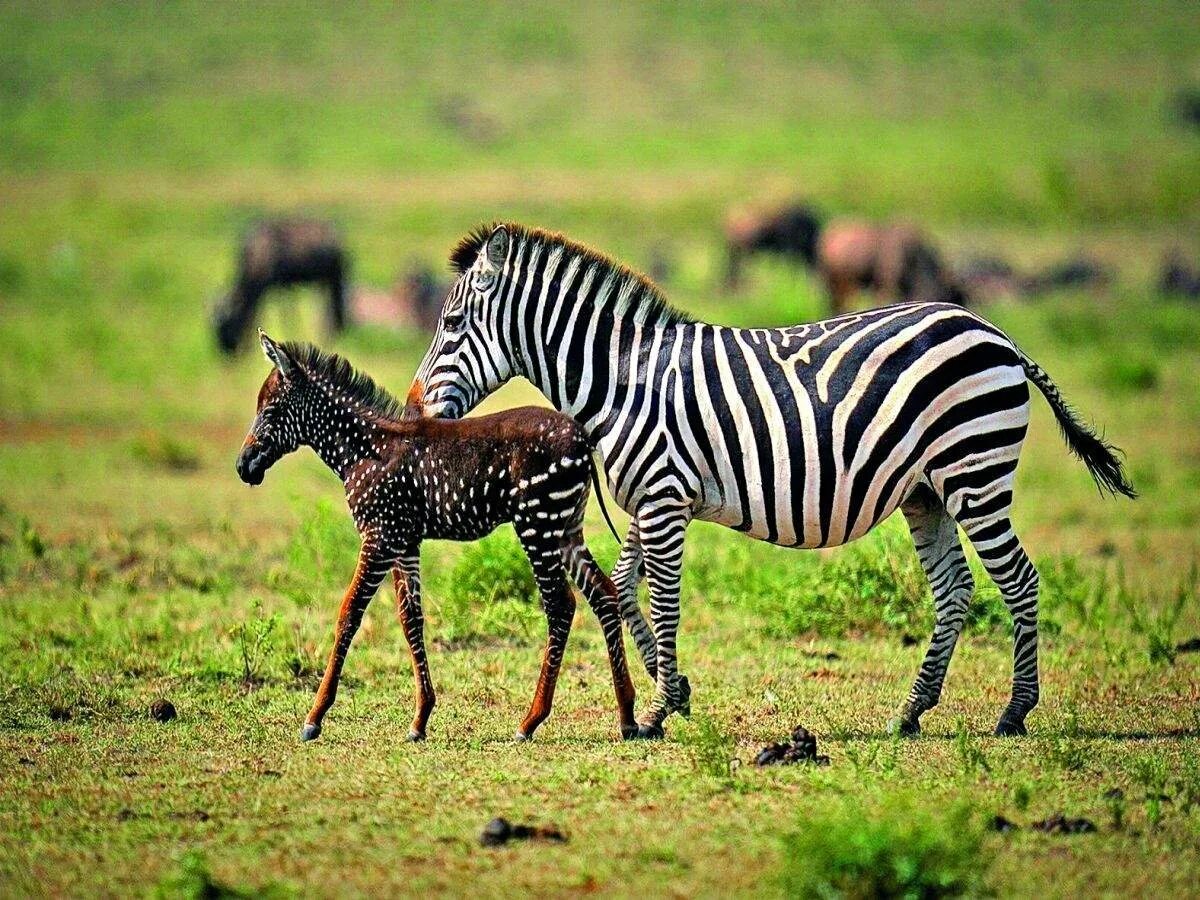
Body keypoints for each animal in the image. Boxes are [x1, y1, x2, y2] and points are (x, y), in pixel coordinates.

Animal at [232, 336, 638, 744]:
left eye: (269, 411)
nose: (242, 466)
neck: (362, 450)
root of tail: (581, 438)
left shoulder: (378, 537)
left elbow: (349, 612)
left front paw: (315, 716)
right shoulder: (403, 541)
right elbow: (410, 616)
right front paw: (420, 717)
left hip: (538, 524)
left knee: (561, 606)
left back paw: (531, 720)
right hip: (565, 528)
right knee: (604, 593)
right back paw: (627, 715)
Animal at [405, 224, 1132, 739]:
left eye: (450, 324)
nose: (412, 409)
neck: (623, 381)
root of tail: (995, 333)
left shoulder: (665, 497)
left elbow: (663, 598)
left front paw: (661, 707)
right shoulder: (648, 500)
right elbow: (625, 585)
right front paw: (672, 691)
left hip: (975, 473)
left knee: (1020, 581)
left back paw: (1015, 711)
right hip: (929, 492)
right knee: (954, 590)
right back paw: (912, 710)